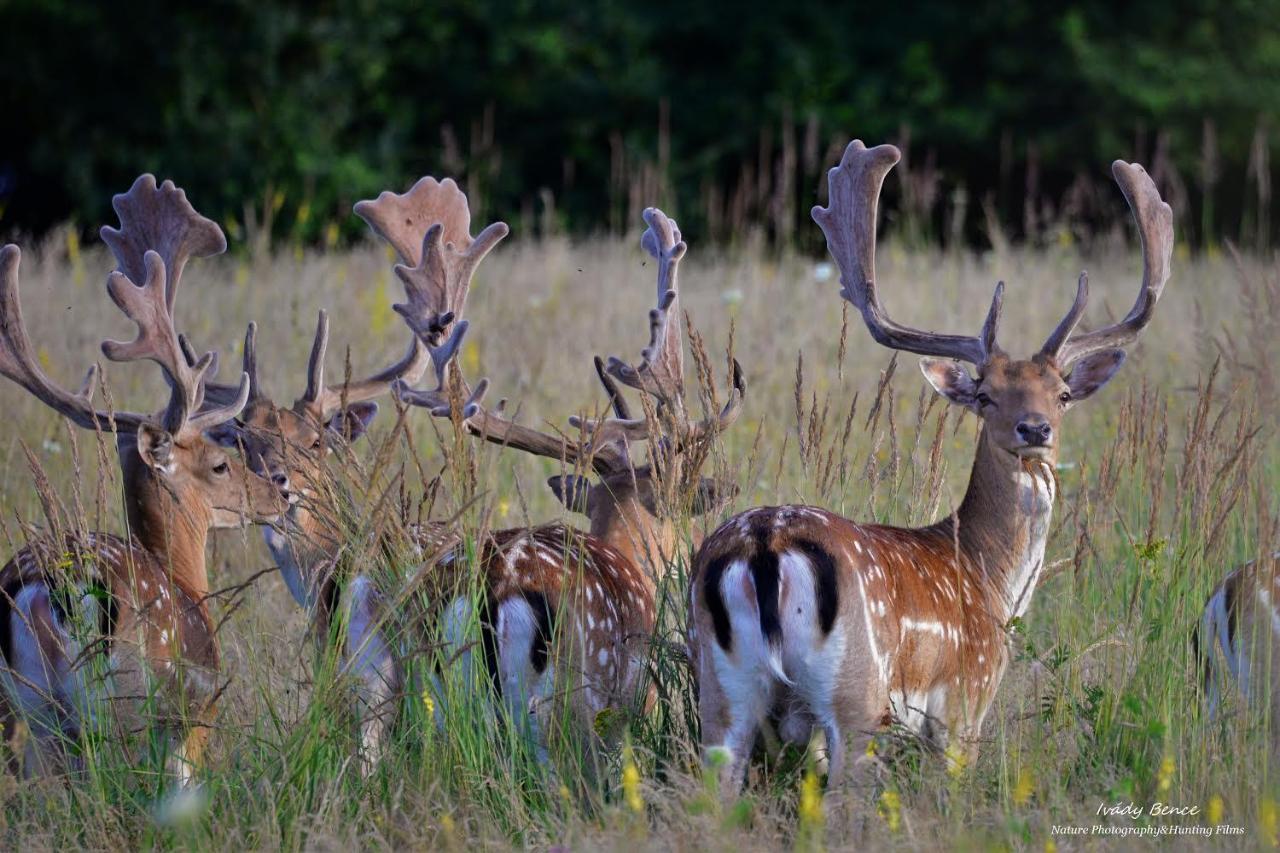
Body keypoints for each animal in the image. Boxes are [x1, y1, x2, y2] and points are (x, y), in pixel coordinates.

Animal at [0, 174, 288, 778]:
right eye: (219, 463)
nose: (277, 491)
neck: (186, 580)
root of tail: (50, 586)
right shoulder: (192, 722)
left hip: (24, 711)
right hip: (125, 699)